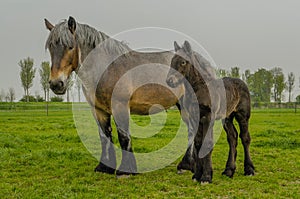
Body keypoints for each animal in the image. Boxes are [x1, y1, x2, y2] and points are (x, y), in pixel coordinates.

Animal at [44, 16, 196, 176]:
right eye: (50, 47)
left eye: (70, 47)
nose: (56, 84)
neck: (106, 69)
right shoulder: (98, 110)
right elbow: (104, 136)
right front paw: (104, 167)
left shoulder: (120, 106)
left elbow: (123, 136)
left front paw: (126, 171)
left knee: (192, 130)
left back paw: (185, 166)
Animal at [165, 40, 254, 183]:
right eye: (172, 60)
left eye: (183, 62)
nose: (170, 81)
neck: (200, 89)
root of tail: (242, 82)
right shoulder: (195, 118)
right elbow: (197, 143)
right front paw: (197, 175)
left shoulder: (208, 117)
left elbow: (207, 143)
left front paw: (206, 177)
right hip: (227, 118)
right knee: (232, 137)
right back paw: (229, 171)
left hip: (242, 115)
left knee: (245, 138)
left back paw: (249, 170)